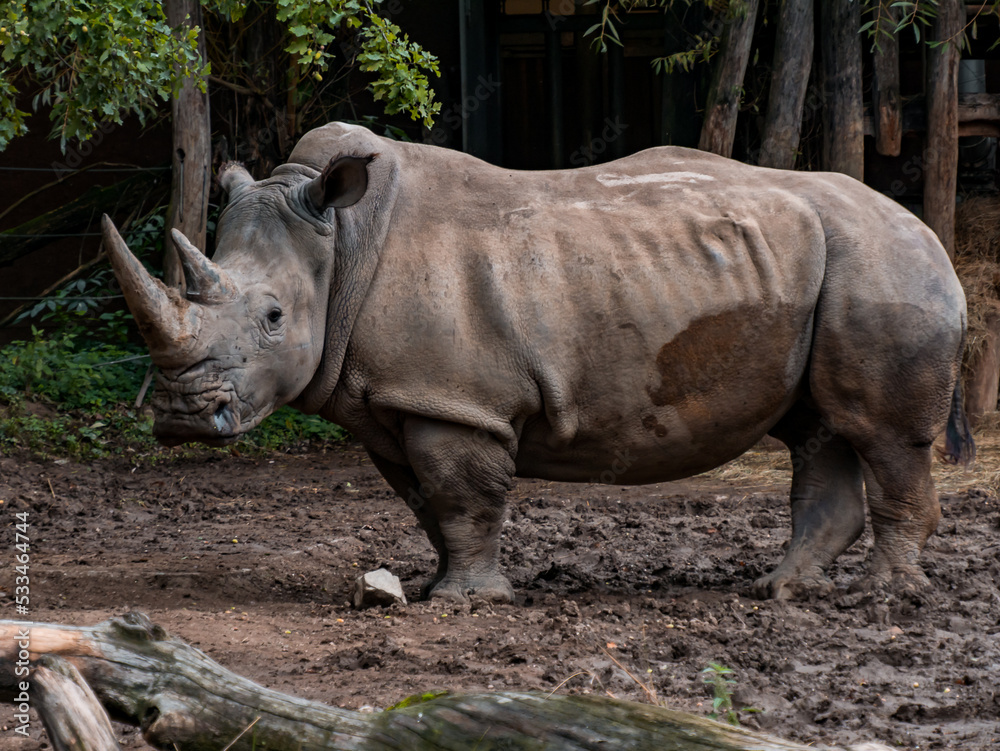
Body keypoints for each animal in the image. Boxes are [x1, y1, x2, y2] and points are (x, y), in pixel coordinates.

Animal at [101, 121, 974, 603]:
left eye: (275, 317)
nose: (181, 417)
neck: (338, 245)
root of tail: (931, 230)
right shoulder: (396, 399)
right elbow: (428, 502)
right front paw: (433, 586)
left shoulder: (456, 399)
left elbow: (463, 494)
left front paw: (464, 603)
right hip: (833, 266)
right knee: (819, 429)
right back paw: (782, 589)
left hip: (882, 265)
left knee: (882, 435)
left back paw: (881, 599)